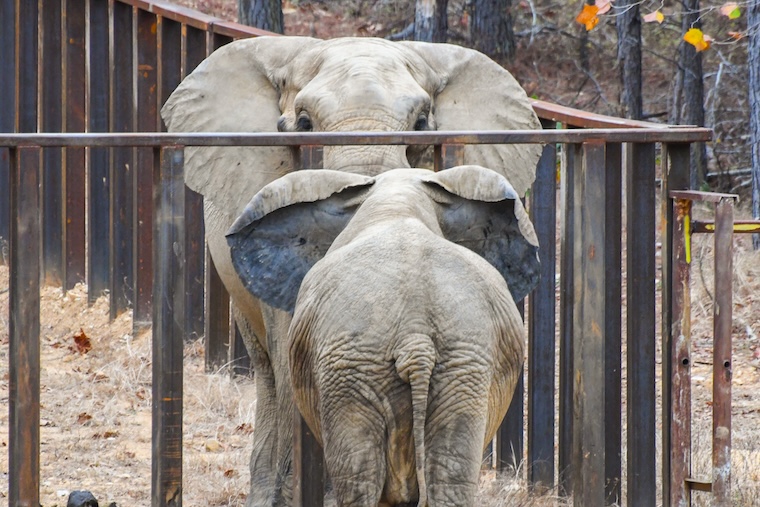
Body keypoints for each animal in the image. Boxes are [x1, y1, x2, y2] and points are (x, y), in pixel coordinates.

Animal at [226, 165, 538, 507]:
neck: (398, 201)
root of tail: (416, 338)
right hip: (451, 369)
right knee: (445, 481)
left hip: (362, 370)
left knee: (359, 481)